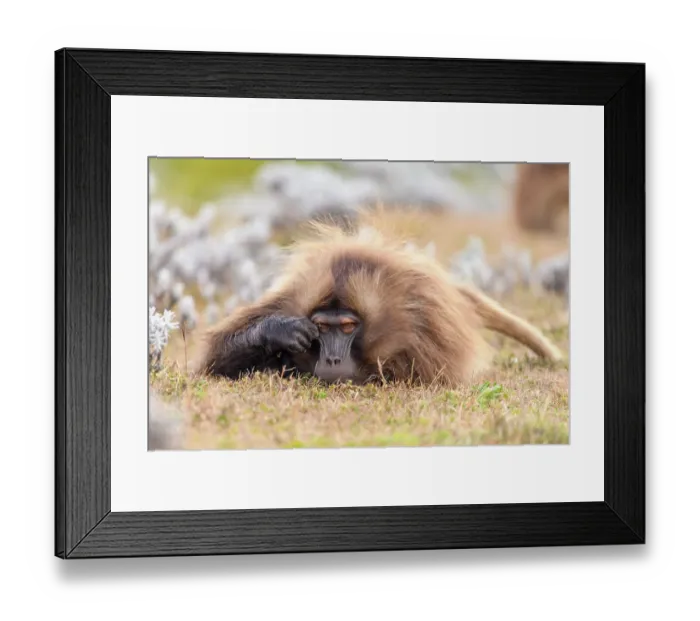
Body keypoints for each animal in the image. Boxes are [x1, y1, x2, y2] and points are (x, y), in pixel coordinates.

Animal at [196, 222, 563, 387]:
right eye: (321, 327)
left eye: (347, 327)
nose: (332, 360)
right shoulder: (286, 298)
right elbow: (213, 363)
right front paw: (279, 333)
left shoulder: (426, 324)